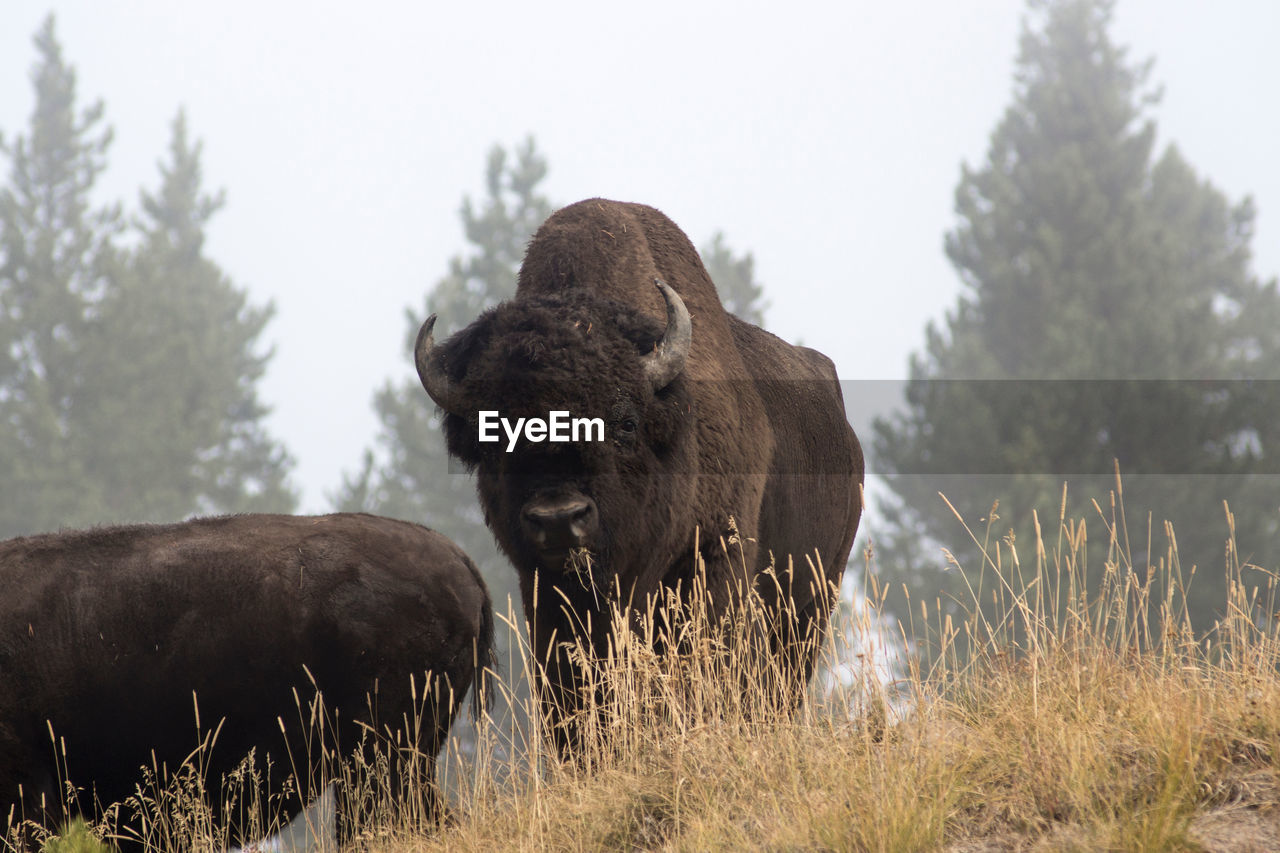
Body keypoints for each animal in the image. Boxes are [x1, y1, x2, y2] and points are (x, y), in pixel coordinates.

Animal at [414, 195, 865, 747]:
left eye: (625, 422)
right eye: (492, 432)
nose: (560, 517)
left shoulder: (712, 563)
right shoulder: (546, 597)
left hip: (814, 602)